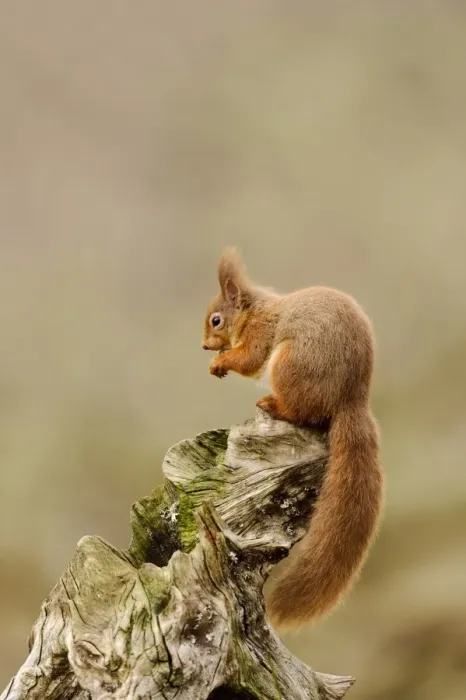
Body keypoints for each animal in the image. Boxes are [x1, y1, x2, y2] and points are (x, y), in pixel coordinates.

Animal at [202, 247, 383, 629]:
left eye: (216, 321)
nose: (204, 346)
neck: (254, 310)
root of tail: (351, 400)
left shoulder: (260, 336)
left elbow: (248, 358)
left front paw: (221, 362)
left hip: (288, 364)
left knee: (301, 412)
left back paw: (273, 404)